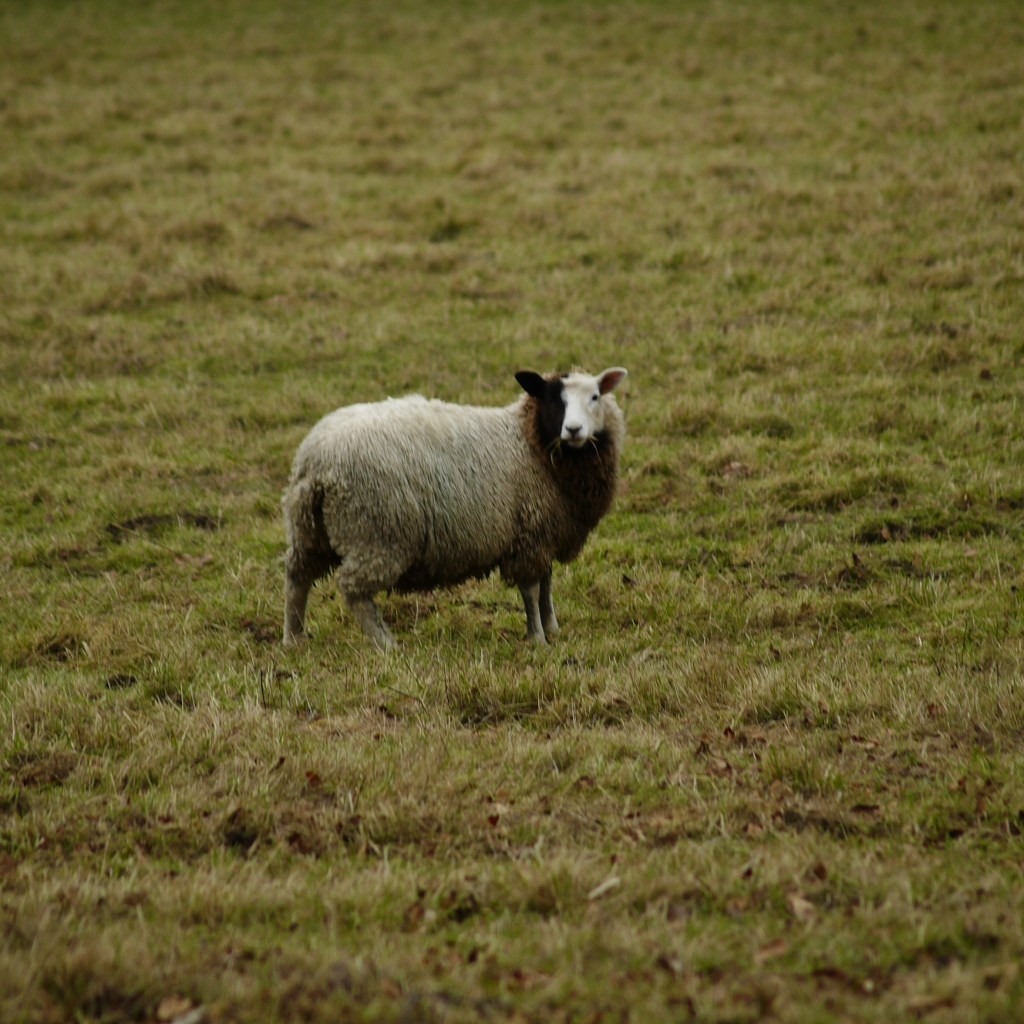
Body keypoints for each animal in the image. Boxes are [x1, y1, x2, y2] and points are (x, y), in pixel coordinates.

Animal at [282, 366, 628, 650]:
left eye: (595, 396)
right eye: (554, 399)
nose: (574, 430)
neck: (530, 442)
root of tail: (315, 460)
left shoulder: (546, 532)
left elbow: (546, 584)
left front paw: (552, 627)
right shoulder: (529, 535)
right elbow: (531, 589)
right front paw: (538, 638)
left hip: (310, 529)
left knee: (297, 577)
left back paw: (294, 638)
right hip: (377, 532)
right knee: (353, 589)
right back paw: (386, 644)